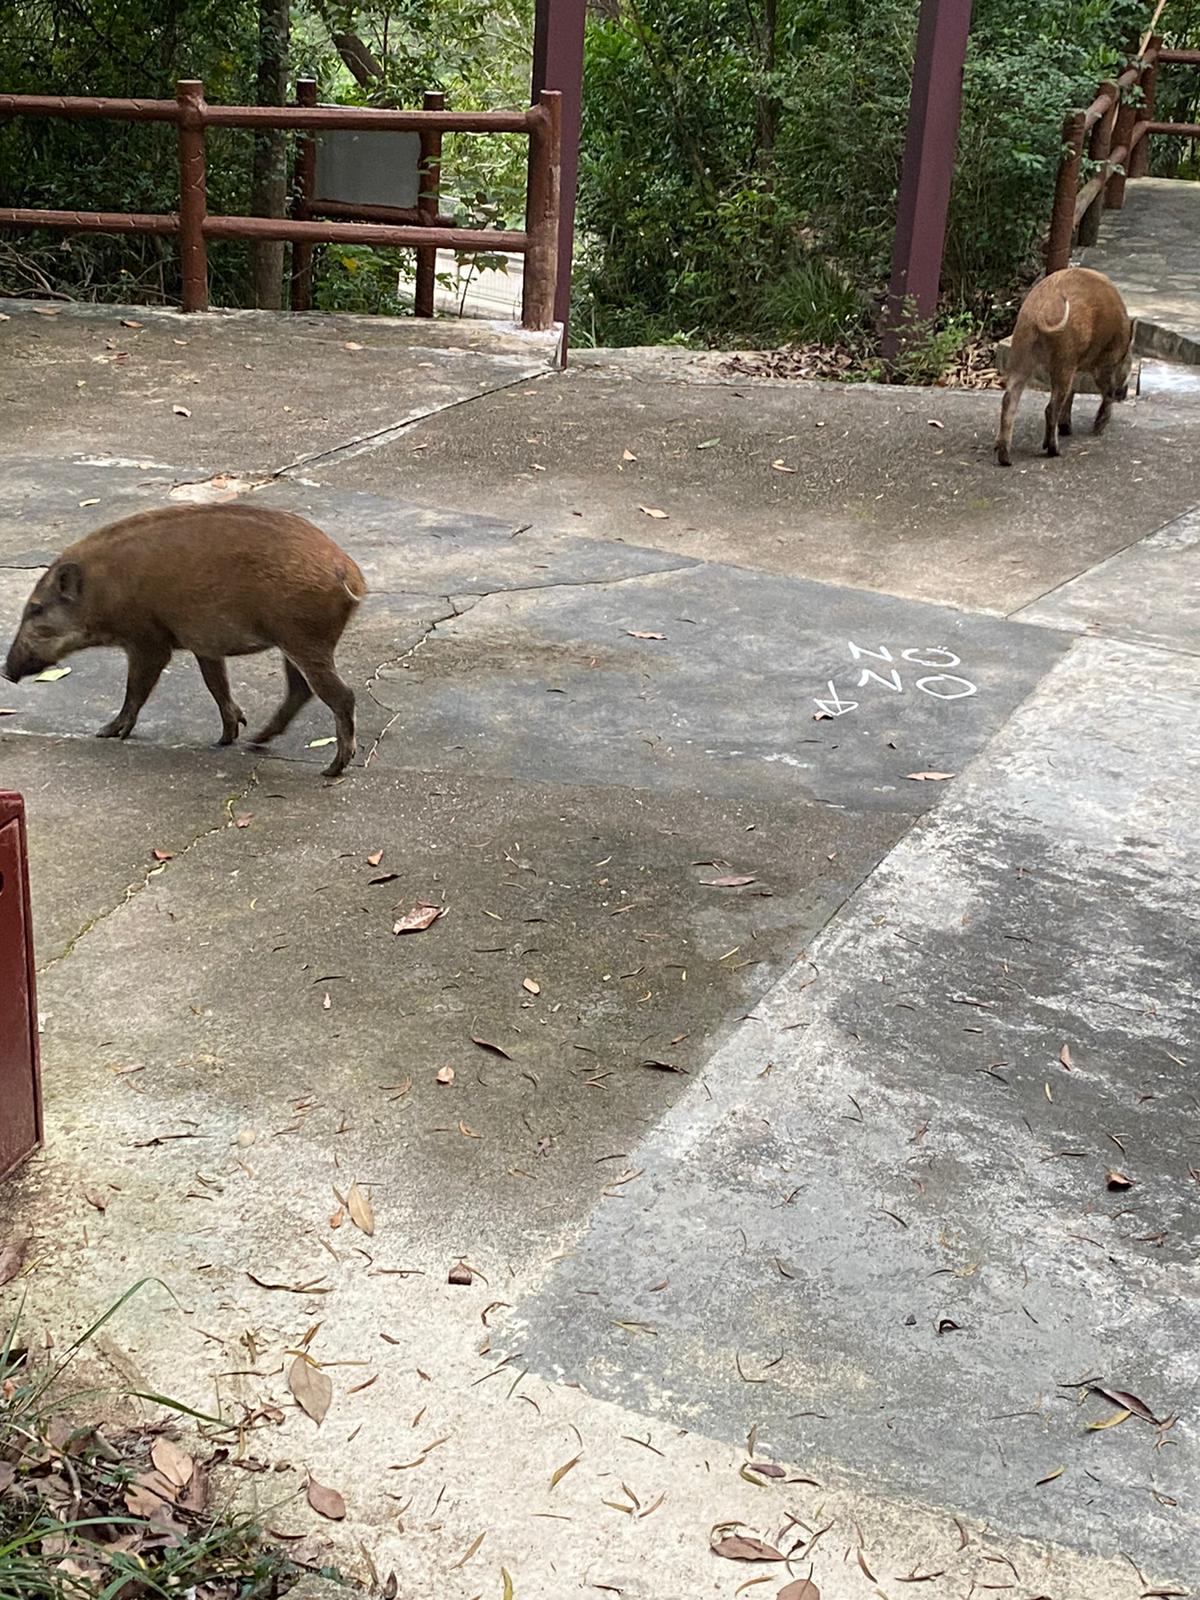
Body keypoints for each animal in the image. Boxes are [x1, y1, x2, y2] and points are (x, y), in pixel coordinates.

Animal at [4, 503, 366, 778]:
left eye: (36, 609)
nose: (6, 671)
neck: (102, 591)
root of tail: (350, 575)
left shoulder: (148, 640)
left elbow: (135, 689)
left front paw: (106, 732)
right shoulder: (204, 645)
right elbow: (216, 685)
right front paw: (225, 738)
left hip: (303, 638)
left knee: (342, 695)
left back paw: (332, 769)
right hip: (293, 642)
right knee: (300, 690)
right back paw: (256, 741)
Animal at [996, 266, 1133, 467]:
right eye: (1129, 365)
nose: (1124, 393)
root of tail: (1040, 310)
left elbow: (1073, 392)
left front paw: (1068, 428)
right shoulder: (1102, 366)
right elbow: (1104, 393)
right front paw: (1097, 429)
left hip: (1020, 353)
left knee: (1009, 400)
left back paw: (1006, 458)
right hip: (1063, 358)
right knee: (1051, 407)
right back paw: (1055, 451)